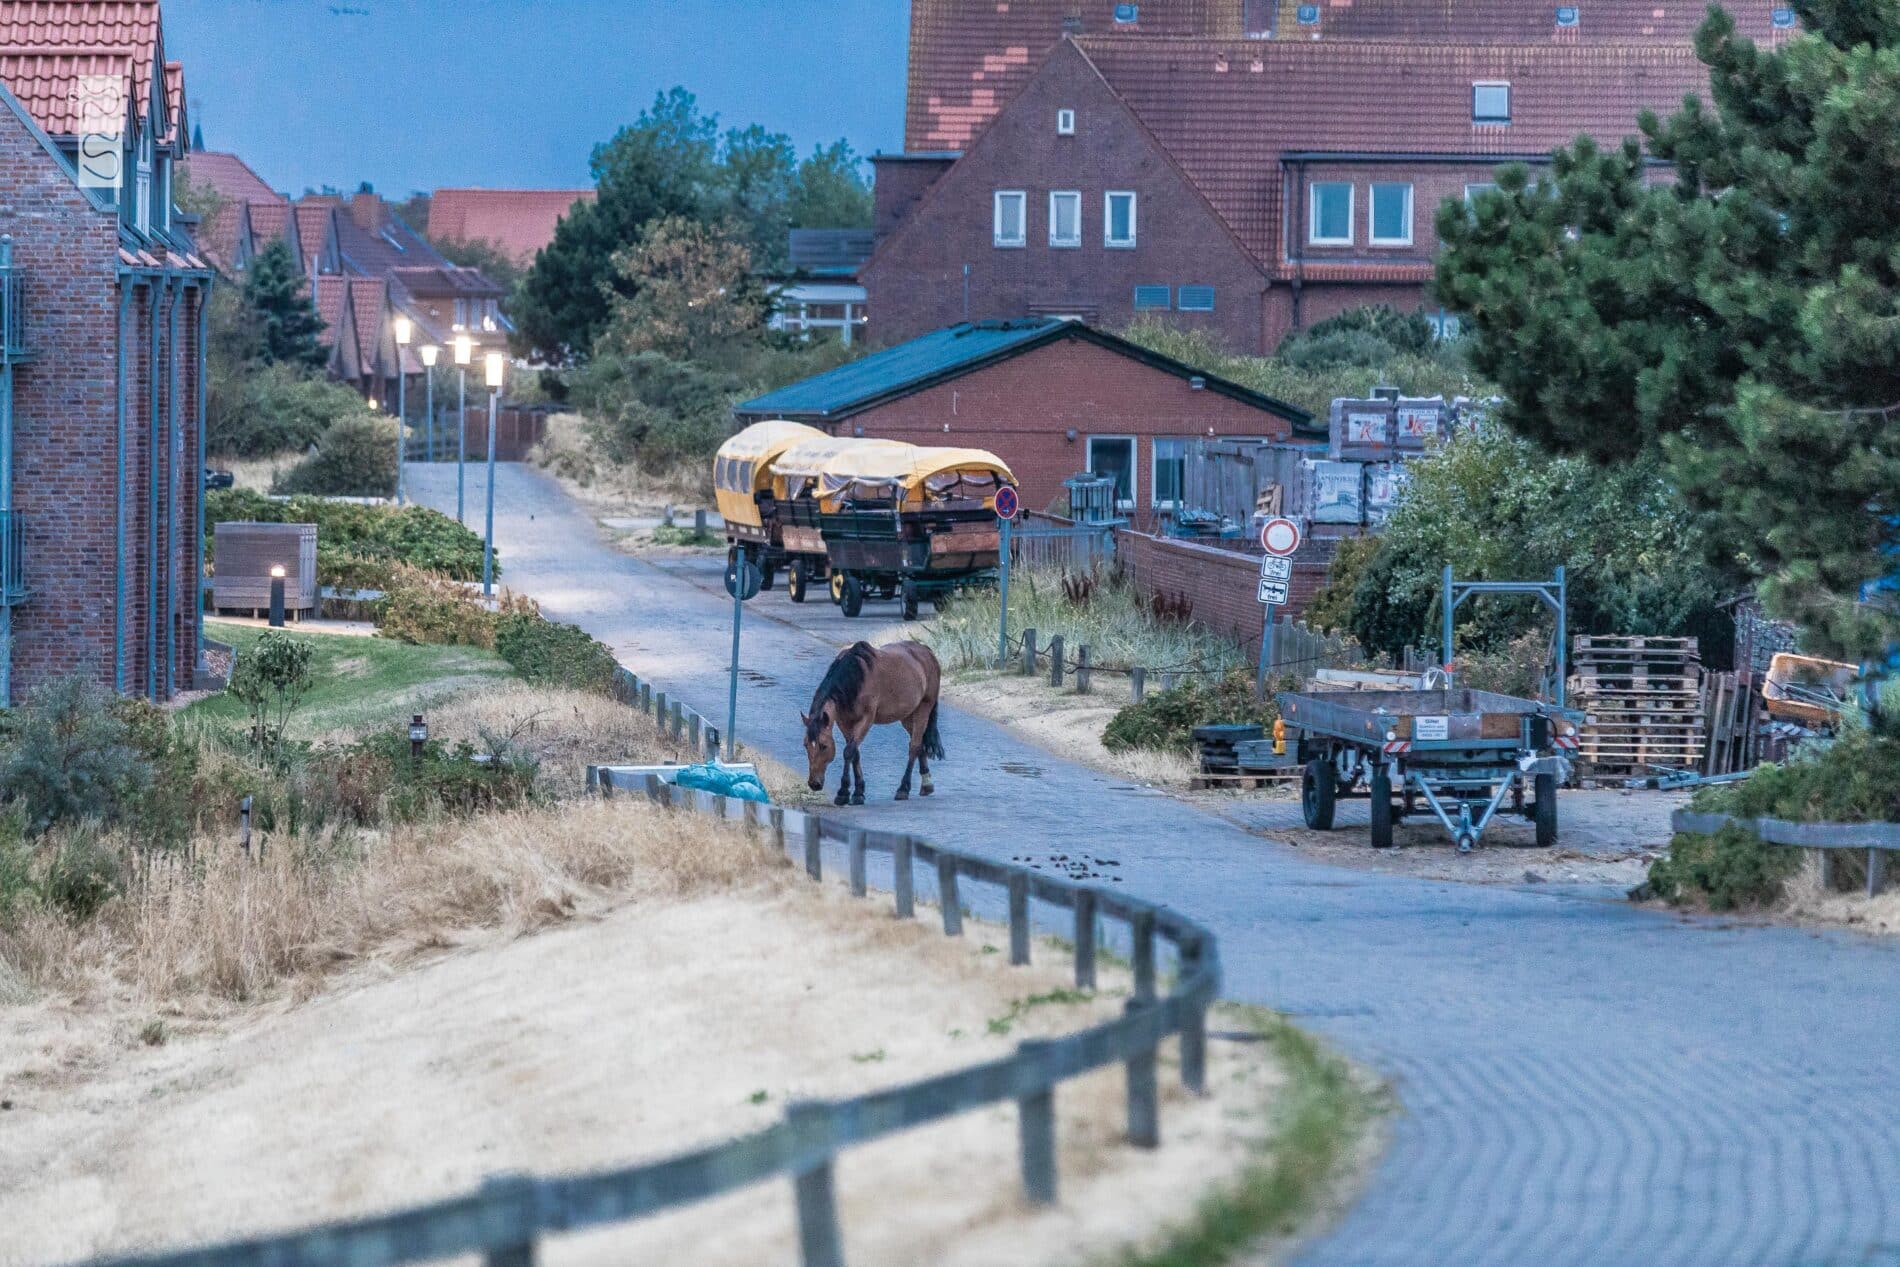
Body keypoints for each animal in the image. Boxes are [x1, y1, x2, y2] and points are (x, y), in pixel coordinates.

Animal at [801, 638, 950, 809]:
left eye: (824, 746)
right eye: (805, 745)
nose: (814, 784)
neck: (855, 678)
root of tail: (927, 651)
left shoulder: (866, 720)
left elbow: (849, 752)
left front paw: (843, 793)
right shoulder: (844, 723)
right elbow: (855, 753)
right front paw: (858, 792)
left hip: (923, 709)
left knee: (914, 746)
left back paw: (903, 789)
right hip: (907, 716)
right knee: (920, 745)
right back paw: (927, 784)